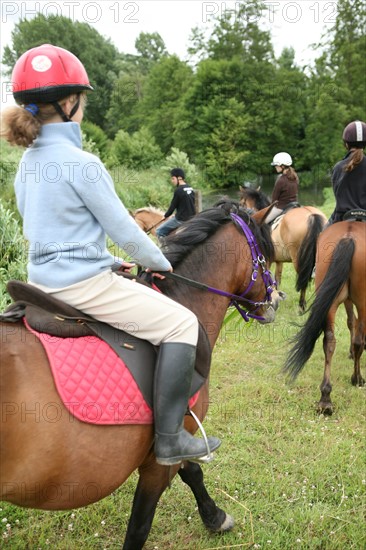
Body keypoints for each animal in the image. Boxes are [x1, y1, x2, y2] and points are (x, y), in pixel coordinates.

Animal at [0, 203, 284, 550]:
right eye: (264, 257)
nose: (275, 300)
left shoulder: (179, 434)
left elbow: (192, 473)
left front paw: (215, 517)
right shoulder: (160, 458)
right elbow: (140, 526)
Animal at [284, 222, 364, 416]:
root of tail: (348, 236)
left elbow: (351, 322)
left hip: (330, 301)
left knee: (329, 341)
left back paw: (325, 399)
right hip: (362, 301)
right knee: (359, 340)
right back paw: (357, 378)